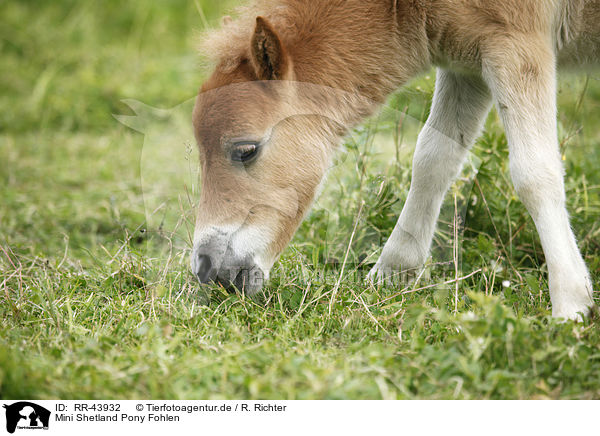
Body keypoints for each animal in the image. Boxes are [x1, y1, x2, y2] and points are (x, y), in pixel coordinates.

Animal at [192, 0, 596, 320]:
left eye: (246, 150)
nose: (206, 267)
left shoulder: (516, 42)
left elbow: (534, 174)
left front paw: (571, 304)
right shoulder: (467, 60)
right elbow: (433, 157)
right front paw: (394, 271)